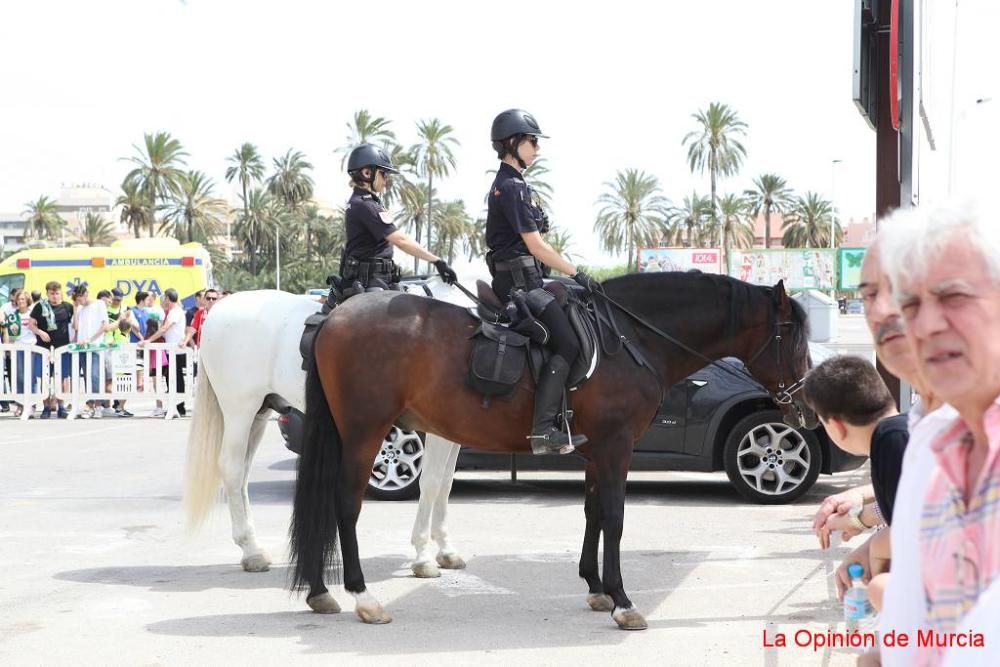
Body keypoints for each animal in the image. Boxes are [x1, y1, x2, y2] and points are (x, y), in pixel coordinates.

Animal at [183, 282, 468, 584]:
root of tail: (219, 310)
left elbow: (446, 483)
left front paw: (447, 551)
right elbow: (432, 482)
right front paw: (423, 556)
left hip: (259, 414)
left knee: (242, 475)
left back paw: (253, 548)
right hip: (240, 411)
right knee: (232, 469)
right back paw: (251, 552)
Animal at [288, 270, 812, 628]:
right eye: (792, 336)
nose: (805, 403)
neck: (631, 339)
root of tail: (334, 316)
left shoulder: (597, 450)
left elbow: (593, 513)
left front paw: (597, 589)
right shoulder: (616, 446)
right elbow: (615, 518)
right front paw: (623, 601)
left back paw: (319, 591)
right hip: (365, 432)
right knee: (345, 504)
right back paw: (362, 596)